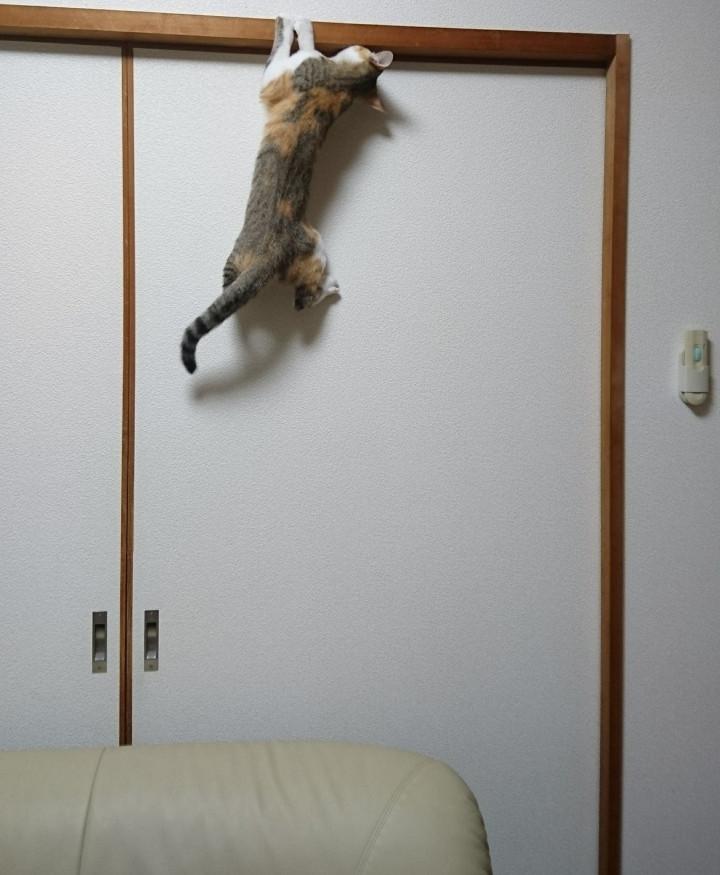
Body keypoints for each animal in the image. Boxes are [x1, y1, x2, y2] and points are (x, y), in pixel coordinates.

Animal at [181, 16, 393, 373]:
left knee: (301, 299)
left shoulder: (279, 74)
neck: (345, 85)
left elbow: (290, 47)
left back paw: (330, 289)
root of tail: (272, 255)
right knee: (301, 296)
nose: (361, 41)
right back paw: (331, 289)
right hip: (293, 250)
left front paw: (294, 22)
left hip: (286, 251)